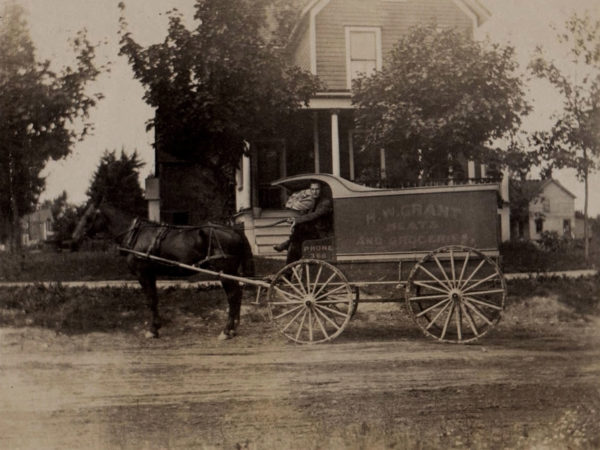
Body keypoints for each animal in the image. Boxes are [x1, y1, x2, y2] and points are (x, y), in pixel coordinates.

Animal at [71, 202, 254, 340]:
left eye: (88, 217)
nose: (74, 238)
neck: (136, 235)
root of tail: (235, 231)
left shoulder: (143, 274)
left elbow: (150, 300)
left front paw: (152, 330)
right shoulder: (151, 274)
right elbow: (154, 299)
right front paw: (156, 327)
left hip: (224, 271)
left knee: (233, 295)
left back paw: (226, 330)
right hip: (231, 272)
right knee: (237, 295)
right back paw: (233, 328)